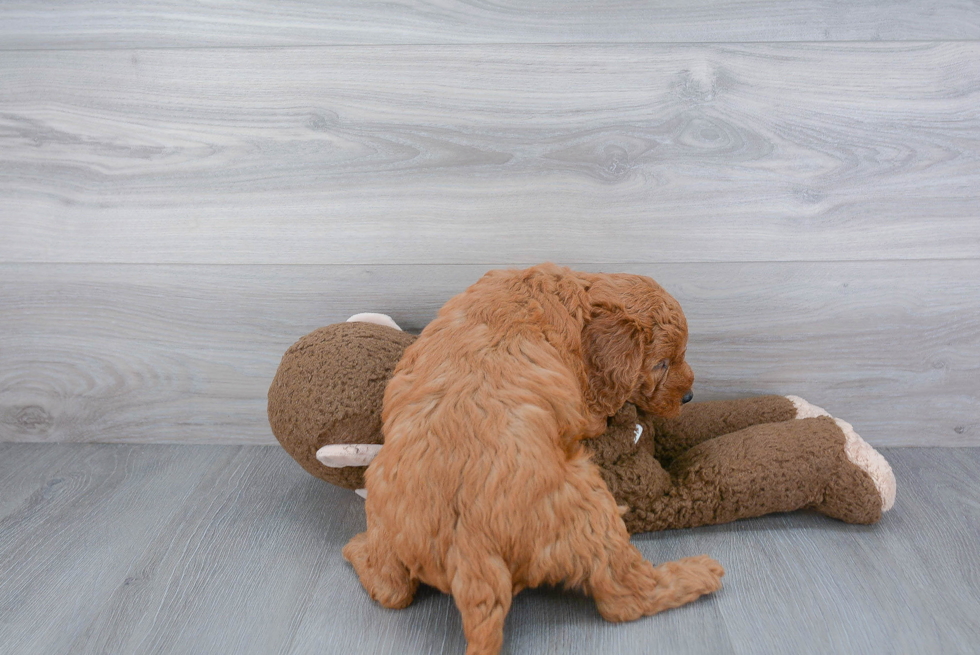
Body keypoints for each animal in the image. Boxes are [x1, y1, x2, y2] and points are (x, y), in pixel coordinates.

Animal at [342, 264, 720, 652]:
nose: (690, 396)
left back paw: (356, 549)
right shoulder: (588, 405)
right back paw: (699, 572)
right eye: (661, 363)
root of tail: (470, 548)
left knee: (392, 591)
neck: (574, 296)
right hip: (591, 503)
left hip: (382, 511)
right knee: (625, 597)